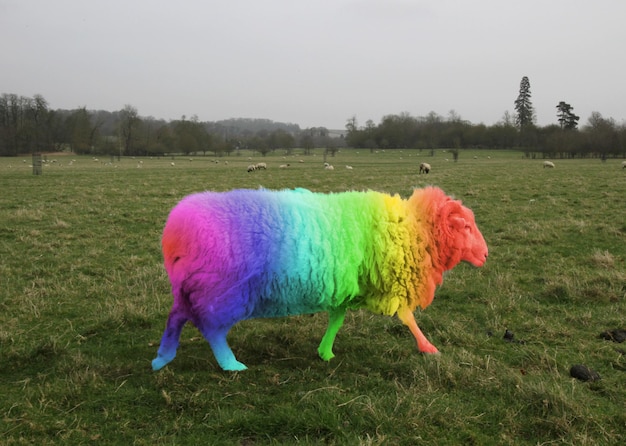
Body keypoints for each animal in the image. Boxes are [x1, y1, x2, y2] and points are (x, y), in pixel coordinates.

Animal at [151, 186, 488, 372]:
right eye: (466, 227)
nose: (486, 255)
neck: (412, 230)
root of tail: (174, 231)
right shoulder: (390, 283)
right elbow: (407, 317)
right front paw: (428, 347)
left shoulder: (349, 286)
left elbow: (336, 319)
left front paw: (325, 352)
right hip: (222, 291)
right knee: (213, 331)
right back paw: (229, 364)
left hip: (192, 286)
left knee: (177, 316)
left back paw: (163, 358)